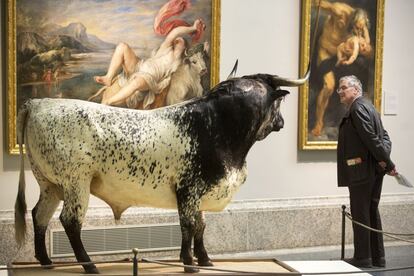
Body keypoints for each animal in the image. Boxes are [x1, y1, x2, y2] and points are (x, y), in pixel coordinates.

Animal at [14, 66, 308, 272]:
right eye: (278, 103)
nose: (281, 122)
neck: (219, 126)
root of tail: (39, 103)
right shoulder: (188, 189)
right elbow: (189, 225)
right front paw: (188, 263)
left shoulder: (200, 192)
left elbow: (201, 225)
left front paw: (205, 260)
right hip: (76, 182)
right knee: (70, 221)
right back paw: (90, 266)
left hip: (50, 184)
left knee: (39, 215)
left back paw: (46, 262)